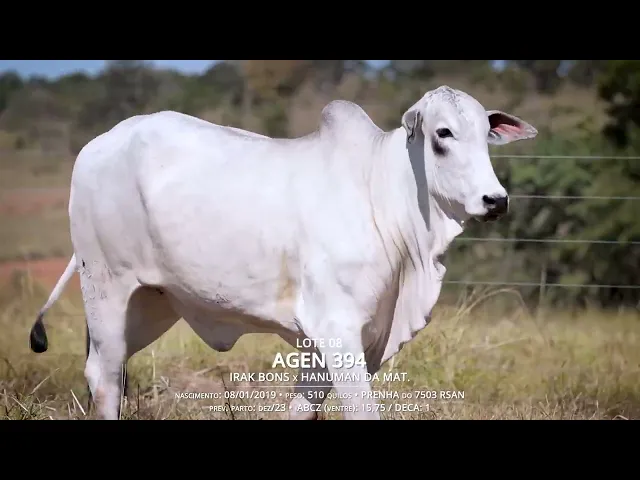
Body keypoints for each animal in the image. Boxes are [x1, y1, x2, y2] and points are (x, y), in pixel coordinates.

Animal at [29, 85, 537, 420]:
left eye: (486, 134)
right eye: (443, 134)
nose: (496, 200)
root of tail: (98, 144)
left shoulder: (332, 345)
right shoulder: (339, 331)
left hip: (152, 302)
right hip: (106, 288)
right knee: (105, 378)